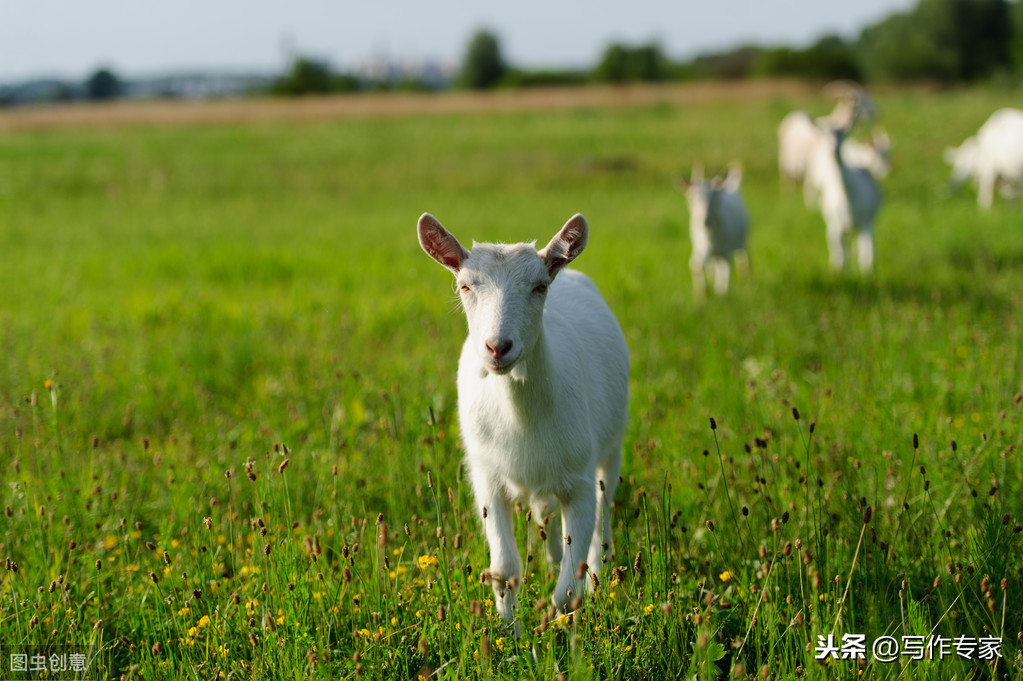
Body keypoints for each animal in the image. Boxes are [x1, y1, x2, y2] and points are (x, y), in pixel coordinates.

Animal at [417, 210, 630, 629]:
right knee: (544, 513)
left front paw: (562, 633)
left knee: (604, 508)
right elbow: (504, 570)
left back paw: (600, 574)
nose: (498, 347)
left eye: (539, 286)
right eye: (465, 286)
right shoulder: (487, 477)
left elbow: (568, 589)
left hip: (611, 447)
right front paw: (510, 633)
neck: (520, 417)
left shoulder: (579, 478)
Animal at [679, 161, 752, 300]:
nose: (705, 221)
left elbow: (724, 269)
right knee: (713, 265)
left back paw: (746, 280)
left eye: (714, 198)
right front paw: (701, 297)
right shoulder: (701, 246)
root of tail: (731, 185)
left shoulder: (726, 249)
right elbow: (696, 264)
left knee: (742, 259)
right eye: (691, 198)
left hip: (743, 240)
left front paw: (721, 294)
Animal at [810, 125, 883, 269]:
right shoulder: (835, 225)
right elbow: (840, 257)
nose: (834, 149)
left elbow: (866, 255)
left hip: (866, 222)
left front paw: (867, 274)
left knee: (864, 248)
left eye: (843, 135)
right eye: (825, 135)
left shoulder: (865, 221)